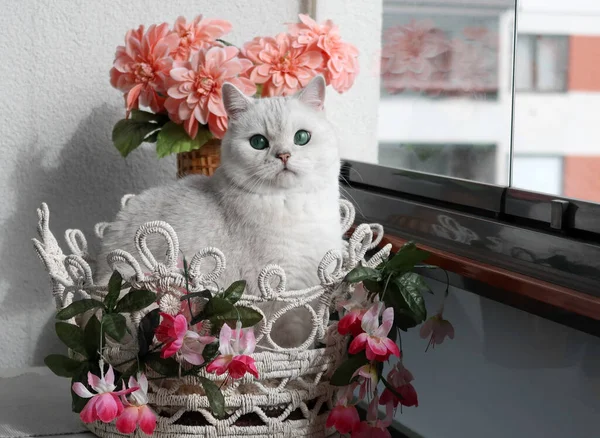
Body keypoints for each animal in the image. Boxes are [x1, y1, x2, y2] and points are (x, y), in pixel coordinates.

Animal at [98, 76, 342, 350]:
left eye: (302, 137)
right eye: (258, 142)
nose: (284, 155)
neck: (293, 203)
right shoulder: (280, 299)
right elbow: (283, 340)